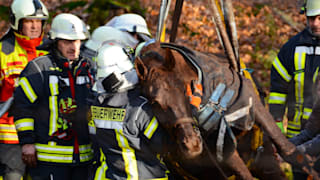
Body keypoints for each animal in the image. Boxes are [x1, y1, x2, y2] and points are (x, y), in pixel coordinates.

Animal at [134, 41, 318, 179]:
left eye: (186, 91)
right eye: (155, 102)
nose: (192, 144)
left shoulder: (250, 102)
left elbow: (286, 148)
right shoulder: (220, 149)